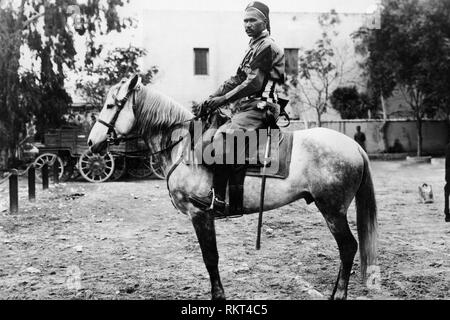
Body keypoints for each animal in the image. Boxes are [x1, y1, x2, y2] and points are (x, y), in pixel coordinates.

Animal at [87, 75, 376, 300]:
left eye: (111, 105)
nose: (92, 142)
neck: (183, 146)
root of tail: (354, 146)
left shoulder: (200, 214)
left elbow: (210, 258)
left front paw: (218, 296)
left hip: (332, 210)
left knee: (348, 247)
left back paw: (338, 294)